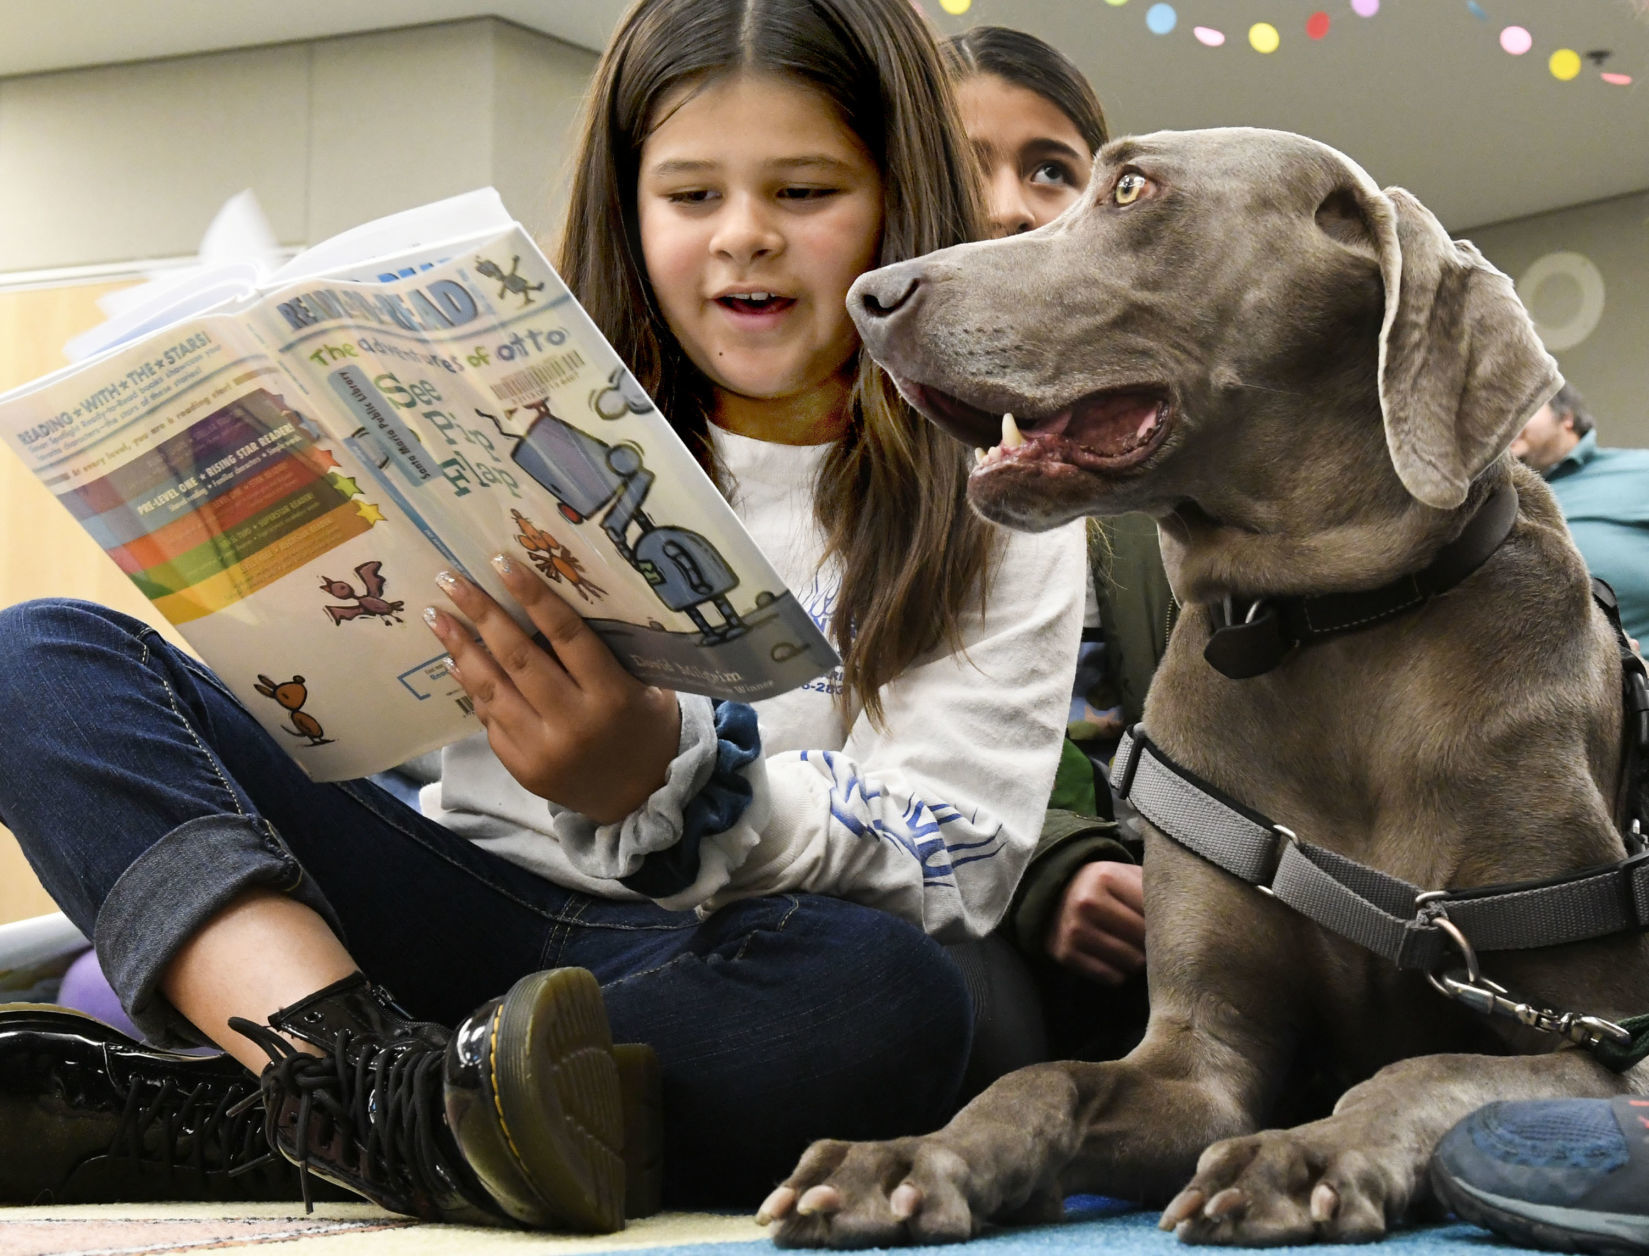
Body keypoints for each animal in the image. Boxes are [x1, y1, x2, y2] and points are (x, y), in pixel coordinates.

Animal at [758, 126, 1649, 1246]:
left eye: (1132, 188)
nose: (865, 293)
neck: (1319, 629)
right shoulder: (1200, 1054)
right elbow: (1043, 1078)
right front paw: (909, 1155)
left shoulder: (1605, 1041)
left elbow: (1427, 1070)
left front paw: (1306, 1151)